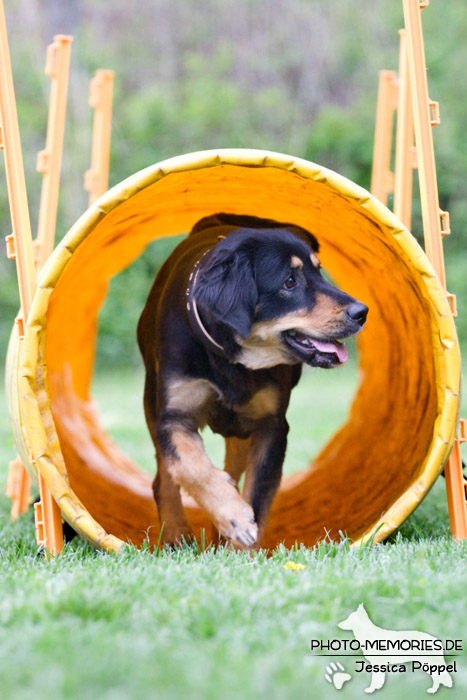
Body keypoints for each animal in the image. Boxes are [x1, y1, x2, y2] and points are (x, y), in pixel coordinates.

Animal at [138, 213, 370, 548]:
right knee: (164, 477)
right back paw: (174, 534)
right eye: (289, 281)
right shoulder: (174, 416)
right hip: (152, 402)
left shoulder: (271, 425)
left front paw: (239, 542)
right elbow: (190, 466)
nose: (362, 312)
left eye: (319, 272)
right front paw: (232, 516)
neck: (231, 358)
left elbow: (257, 497)